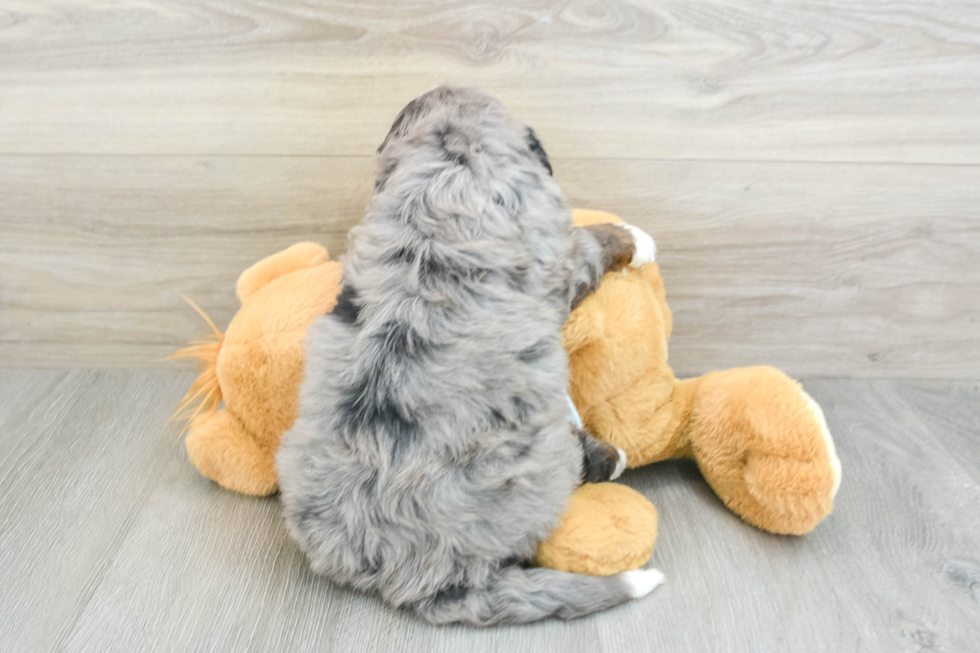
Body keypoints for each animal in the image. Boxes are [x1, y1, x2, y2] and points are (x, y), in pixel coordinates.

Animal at [272, 86, 664, 628]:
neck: (452, 154)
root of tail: (412, 579)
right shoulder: (561, 252)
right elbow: (594, 241)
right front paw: (637, 238)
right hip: (540, 461)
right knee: (579, 466)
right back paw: (612, 455)